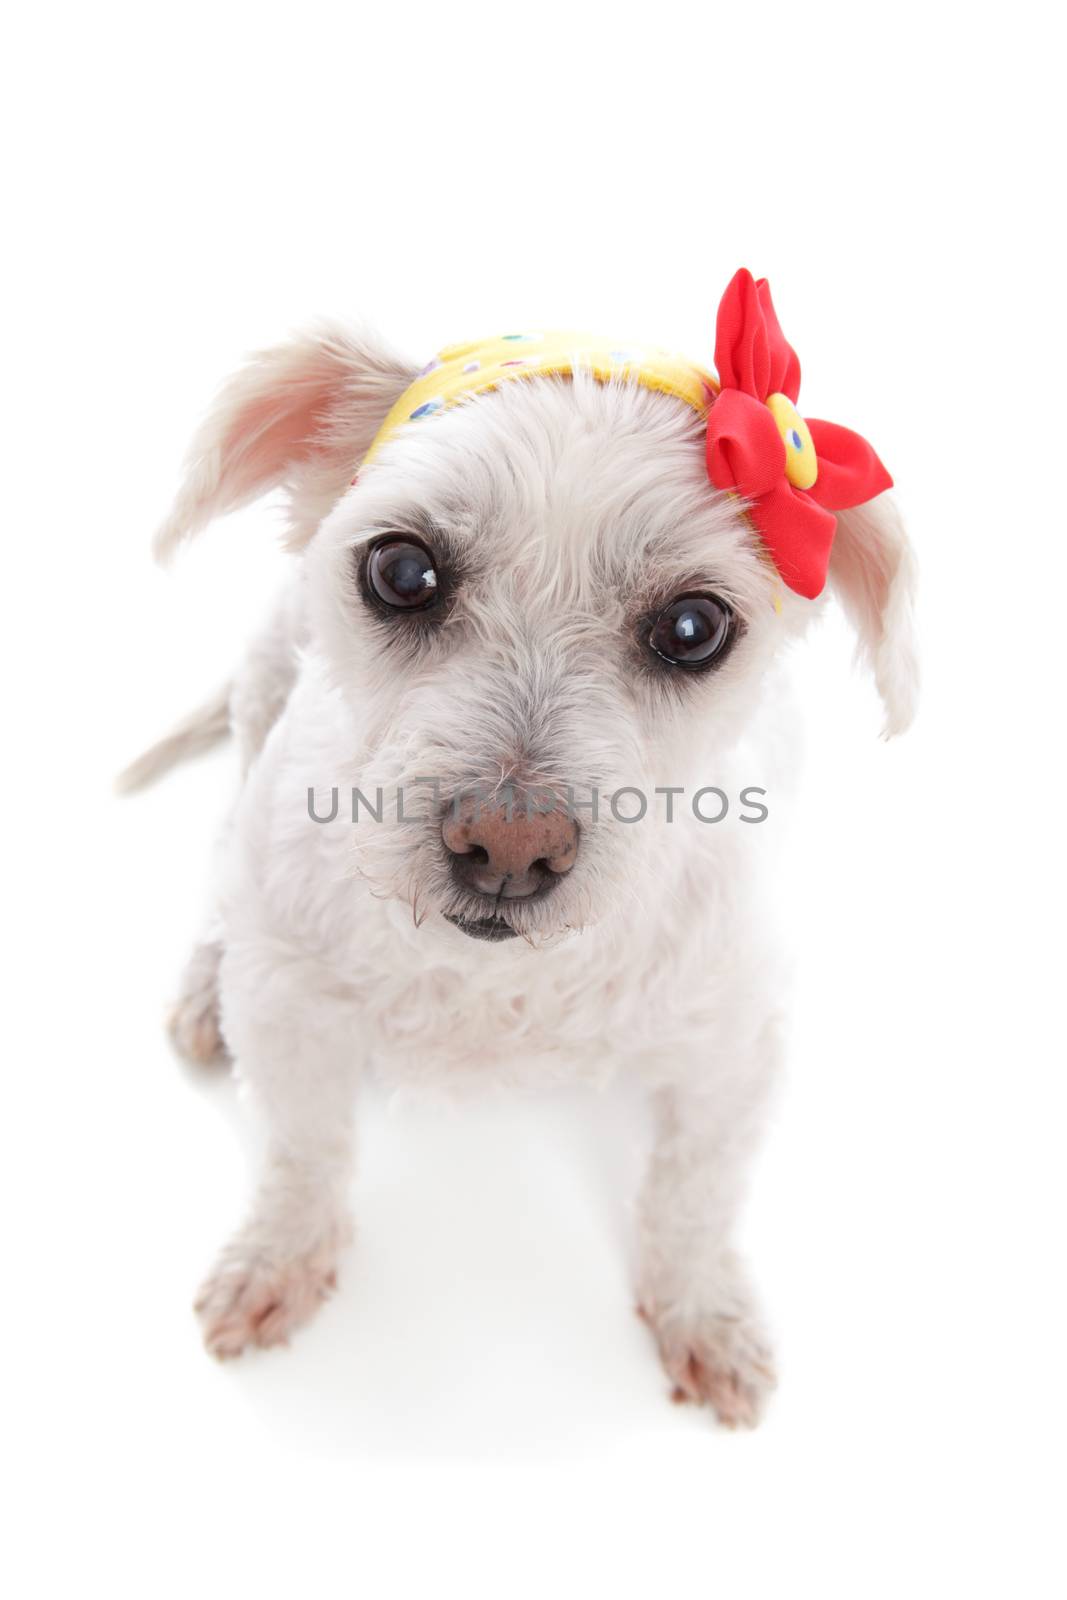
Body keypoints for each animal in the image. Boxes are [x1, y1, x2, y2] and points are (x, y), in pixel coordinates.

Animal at [127, 272, 921, 1427]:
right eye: (402, 570)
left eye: (693, 628)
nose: (506, 845)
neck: (497, 981)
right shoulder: (287, 1018)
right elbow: (301, 1154)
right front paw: (278, 1257)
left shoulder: (736, 1051)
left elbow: (694, 1194)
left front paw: (703, 1311)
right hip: (262, 694)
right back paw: (202, 980)